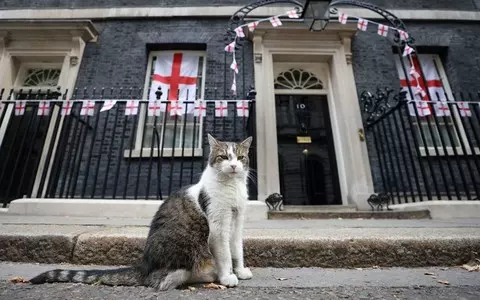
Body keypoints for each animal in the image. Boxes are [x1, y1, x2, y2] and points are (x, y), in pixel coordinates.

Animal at [29, 135, 255, 290]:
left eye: (240, 157)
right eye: (224, 157)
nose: (233, 165)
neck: (232, 187)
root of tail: (145, 265)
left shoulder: (237, 222)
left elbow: (237, 250)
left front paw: (240, 271)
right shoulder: (218, 226)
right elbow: (225, 254)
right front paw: (228, 277)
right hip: (186, 245)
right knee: (159, 280)